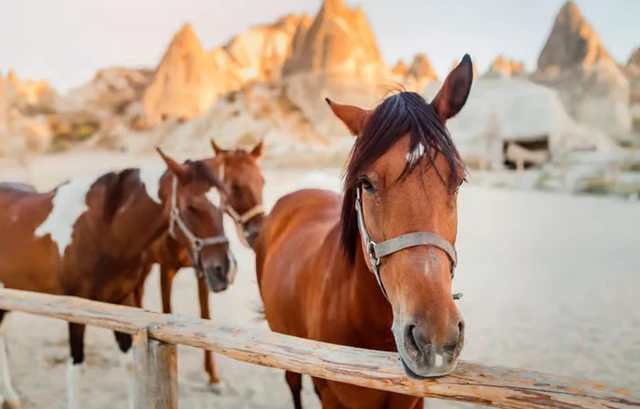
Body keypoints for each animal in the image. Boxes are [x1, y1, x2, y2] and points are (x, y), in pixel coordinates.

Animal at [0, 147, 234, 409]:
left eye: (225, 205)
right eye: (192, 207)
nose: (223, 270)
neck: (101, 230)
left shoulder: (122, 301)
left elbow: (130, 364)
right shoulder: (76, 308)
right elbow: (76, 370)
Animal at [132, 138, 266, 387]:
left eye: (262, 181)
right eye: (234, 187)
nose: (258, 232)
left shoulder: (206, 272)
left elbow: (205, 315)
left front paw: (212, 374)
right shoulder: (166, 269)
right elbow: (167, 311)